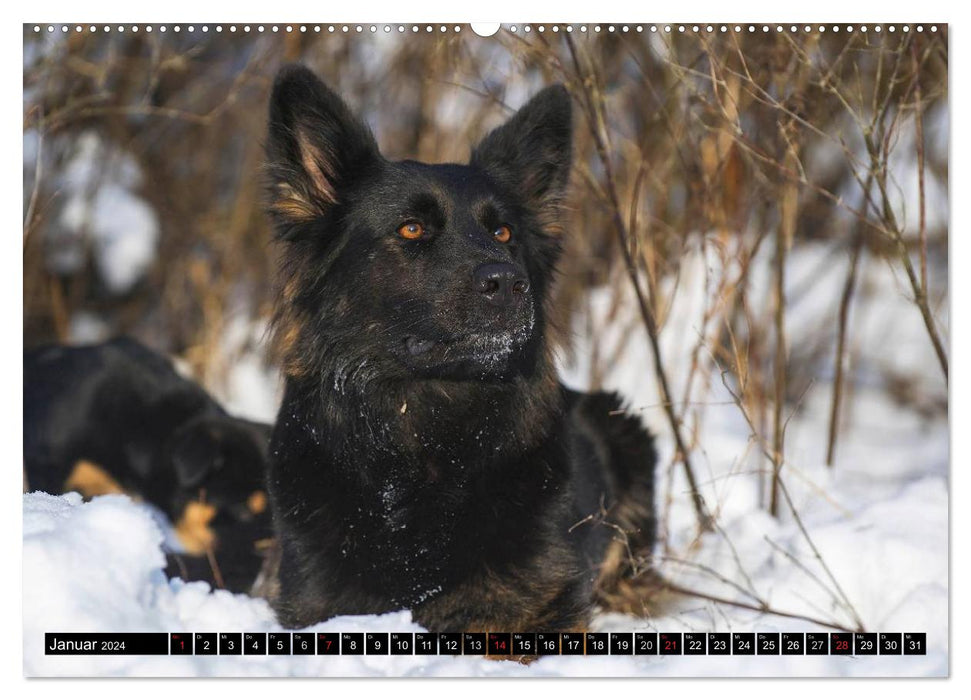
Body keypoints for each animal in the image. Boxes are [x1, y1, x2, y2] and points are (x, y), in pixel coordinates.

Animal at [262, 67, 656, 636]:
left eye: (504, 232)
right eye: (412, 228)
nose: (510, 285)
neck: (424, 431)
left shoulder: (536, 606)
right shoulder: (319, 605)